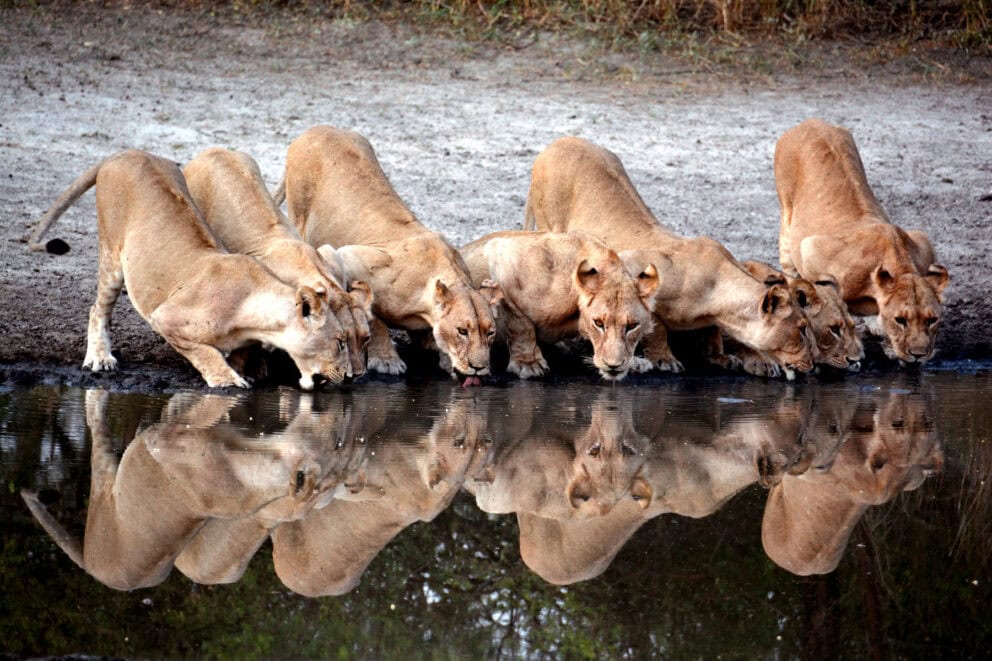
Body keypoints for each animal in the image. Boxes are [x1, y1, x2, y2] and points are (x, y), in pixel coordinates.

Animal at [28, 150, 348, 390]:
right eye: (340, 342)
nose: (346, 377)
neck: (257, 317)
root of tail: (126, 152)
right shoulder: (165, 318)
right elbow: (204, 352)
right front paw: (228, 380)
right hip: (111, 254)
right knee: (98, 309)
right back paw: (100, 357)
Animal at [273, 125, 502, 384]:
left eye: (490, 332)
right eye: (462, 331)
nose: (478, 368)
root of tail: (315, 128)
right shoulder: (351, 258)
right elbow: (374, 317)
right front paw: (386, 360)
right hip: (299, 214)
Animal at [460, 231, 658, 380]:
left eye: (632, 326)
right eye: (599, 323)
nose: (613, 366)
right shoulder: (501, 255)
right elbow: (520, 324)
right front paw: (528, 363)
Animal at [525, 136, 814, 376]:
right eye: (801, 327)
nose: (811, 365)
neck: (716, 295)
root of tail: (556, 144)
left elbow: (713, 332)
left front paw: (721, 358)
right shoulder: (636, 265)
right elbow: (657, 326)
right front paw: (664, 360)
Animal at [775, 119, 949, 363]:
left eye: (932, 320)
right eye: (900, 320)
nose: (918, 355)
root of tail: (810, 122)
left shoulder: (923, 244)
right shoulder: (811, 248)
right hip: (787, 221)